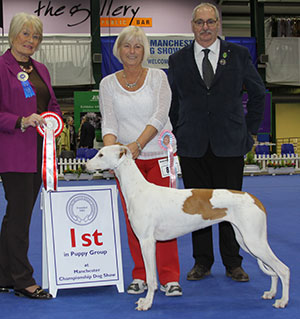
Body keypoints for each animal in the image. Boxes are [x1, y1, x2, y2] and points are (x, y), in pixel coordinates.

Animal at [85, 146, 290, 312]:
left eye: (100, 154)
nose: (85, 166)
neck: (138, 189)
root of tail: (254, 199)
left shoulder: (147, 242)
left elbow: (151, 279)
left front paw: (147, 303)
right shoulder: (147, 242)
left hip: (254, 241)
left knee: (283, 269)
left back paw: (283, 301)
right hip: (246, 240)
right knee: (273, 270)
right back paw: (271, 293)